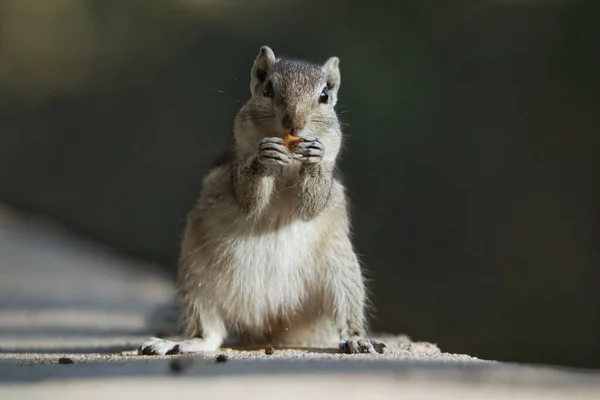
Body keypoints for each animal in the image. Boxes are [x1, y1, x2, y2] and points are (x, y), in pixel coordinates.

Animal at [138, 45, 386, 354]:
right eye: (267, 89)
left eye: (324, 95)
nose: (295, 124)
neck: (289, 161)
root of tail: (266, 321)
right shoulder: (237, 161)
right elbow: (249, 198)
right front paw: (264, 157)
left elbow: (310, 206)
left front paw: (314, 157)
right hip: (195, 279)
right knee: (210, 333)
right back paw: (180, 344)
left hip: (343, 272)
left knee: (347, 315)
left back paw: (356, 339)